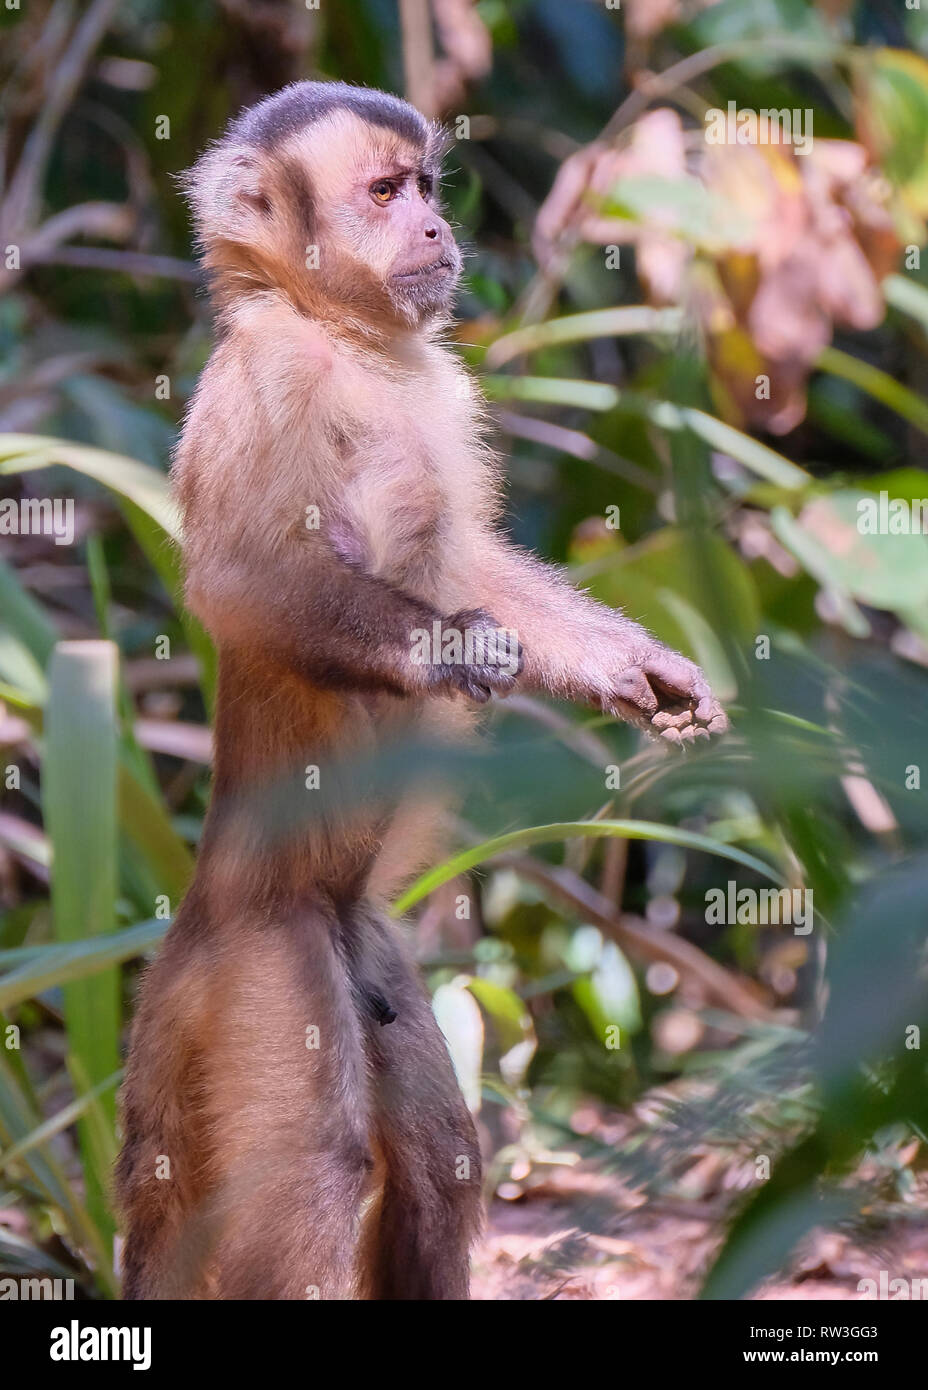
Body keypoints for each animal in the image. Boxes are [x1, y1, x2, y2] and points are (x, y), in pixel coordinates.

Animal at [113, 84, 722, 1301]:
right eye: (386, 193)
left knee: (439, 1155)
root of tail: (201, 910)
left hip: (370, 950)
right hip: (266, 962)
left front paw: (627, 668)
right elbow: (244, 583)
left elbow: (472, 557)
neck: (341, 334)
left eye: (427, 189)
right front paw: (447, 648)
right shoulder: (268, 376)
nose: (438, 228)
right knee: (313, 1172)